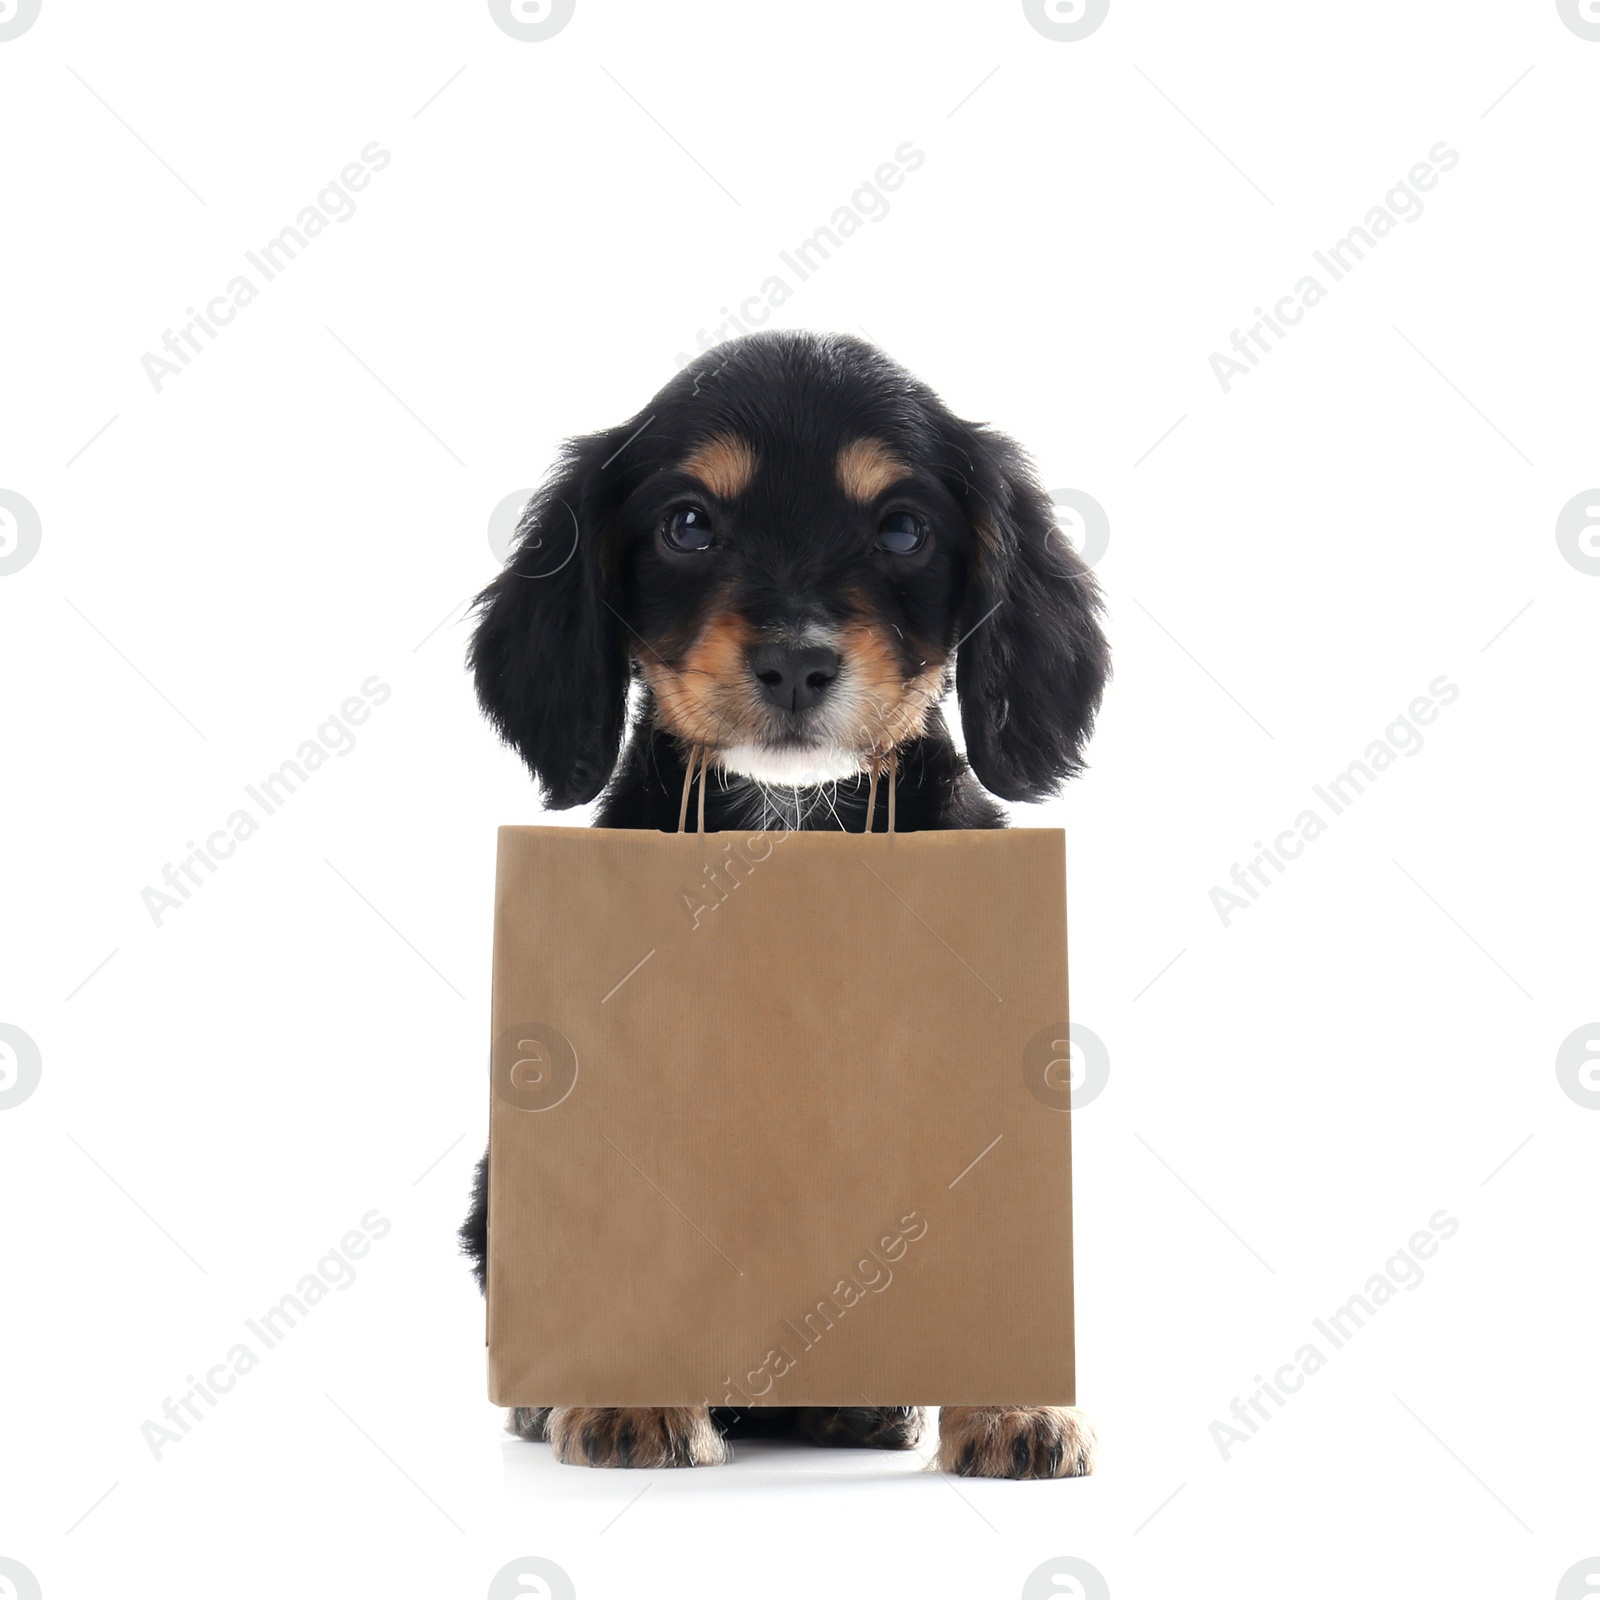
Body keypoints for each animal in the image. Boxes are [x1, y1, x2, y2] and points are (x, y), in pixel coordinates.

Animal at [460, 331, 1113, 1478]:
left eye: (901, 528)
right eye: (688, 524)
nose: (798, 664)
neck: (791, 815)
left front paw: (1017, 1406)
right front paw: (632, 1395)